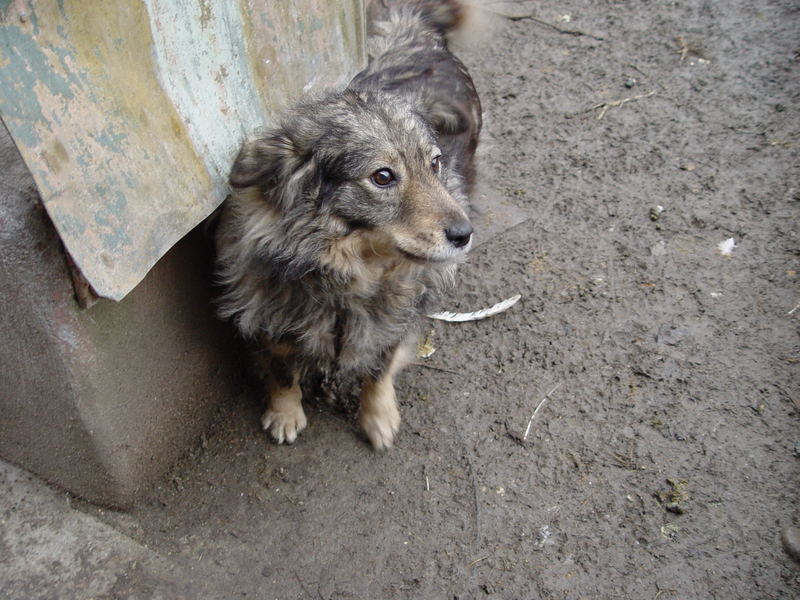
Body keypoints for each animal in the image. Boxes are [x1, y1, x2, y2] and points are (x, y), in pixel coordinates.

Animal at [212, 1, 484, 450]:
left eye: (434, 164)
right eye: (383, 177)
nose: (465, 234)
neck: (347, 275)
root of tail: (413, 26)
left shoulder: (393, 321)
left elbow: (379, 369)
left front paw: (379, 416)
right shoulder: (272, 320)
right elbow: (283, 375)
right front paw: (285, 413)